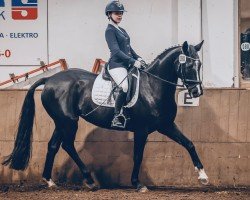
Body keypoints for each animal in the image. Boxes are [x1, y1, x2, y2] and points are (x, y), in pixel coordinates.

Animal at [2, 40, 209, 192]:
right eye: (188, 65)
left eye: (199, 64)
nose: (197, 91)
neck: (153, 87)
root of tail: (50, 79)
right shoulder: (142, 130)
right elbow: (138, 156)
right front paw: (138, 184)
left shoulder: (165, 125)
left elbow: (189, 143)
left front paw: (203, 176)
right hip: (68, 122)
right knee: (67, 145)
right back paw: (89, 180)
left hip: (61, 122)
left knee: (53, 145)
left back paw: (50, 181)